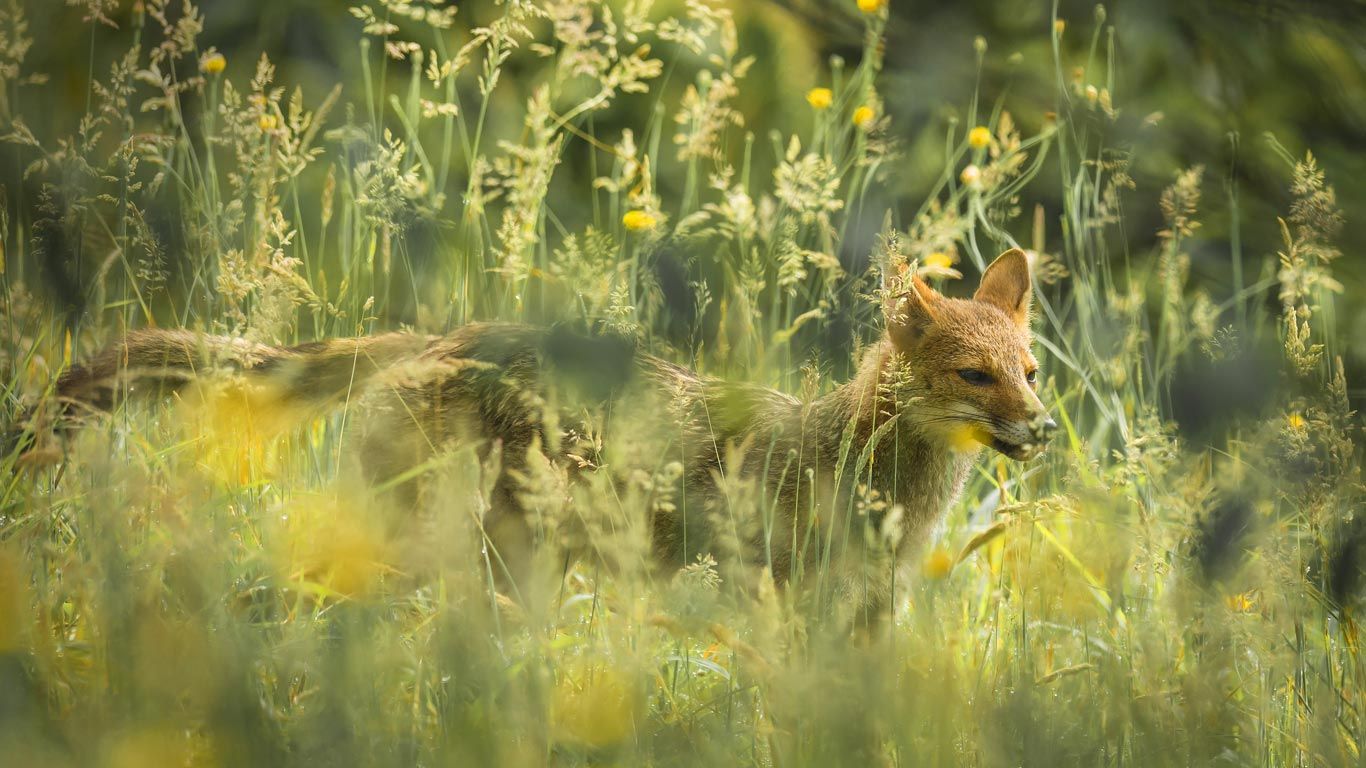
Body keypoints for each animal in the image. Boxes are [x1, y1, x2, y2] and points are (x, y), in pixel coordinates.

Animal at [47, 248, 1055, 620]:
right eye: (976, 377)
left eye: (1031, 372)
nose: (1043, 429)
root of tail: (445, 333)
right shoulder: (779, 605)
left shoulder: (871, 618)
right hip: (435, 552)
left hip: (514, 571)